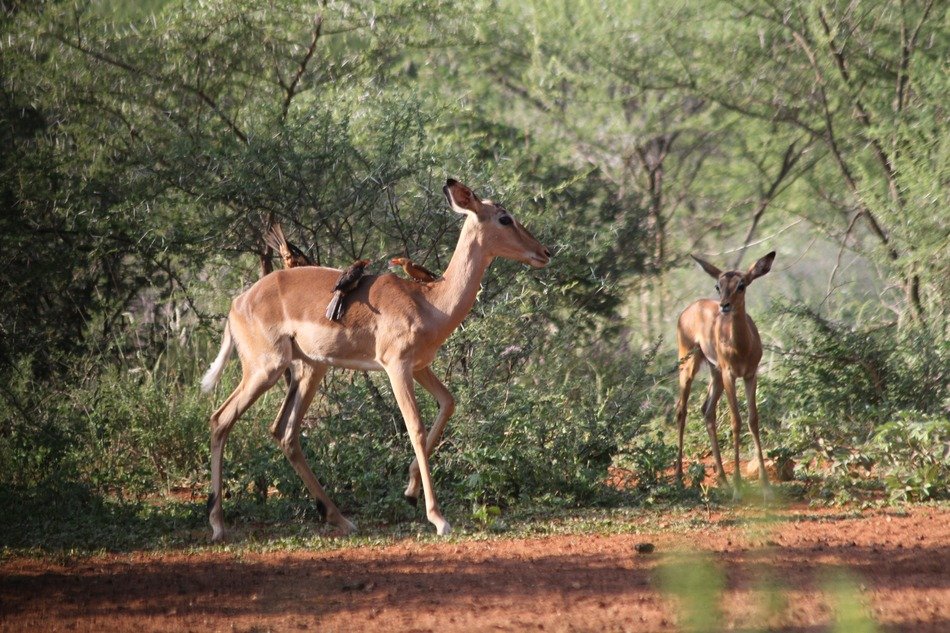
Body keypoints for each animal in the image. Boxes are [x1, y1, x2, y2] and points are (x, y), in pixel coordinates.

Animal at [200, 179, 551, 540]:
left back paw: (340, 518)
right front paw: (438, 518)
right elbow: (416, 429)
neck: (430, 302)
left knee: (284, 432)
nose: (545, 253)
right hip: (265, 369)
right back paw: (218, 525)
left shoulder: (421, 366)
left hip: (311, 368)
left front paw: (410, 491)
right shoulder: (396, 366)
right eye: (505, 218)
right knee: (220, 419)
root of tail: (238, 303)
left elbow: (448, 403)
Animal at [673, 251, 776, 500]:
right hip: (689, 365)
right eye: (718, 286)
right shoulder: (731, 375)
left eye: (741, 285)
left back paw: (723, 479)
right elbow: (735, 421)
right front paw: (739, 487)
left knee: (707, 411)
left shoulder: (750, 375)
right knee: (681, 409)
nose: (724, 306)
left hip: (715, 372)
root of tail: (690, 308)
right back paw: (679, 477)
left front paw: (766, 487)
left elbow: (753, 420)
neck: (741, 346)